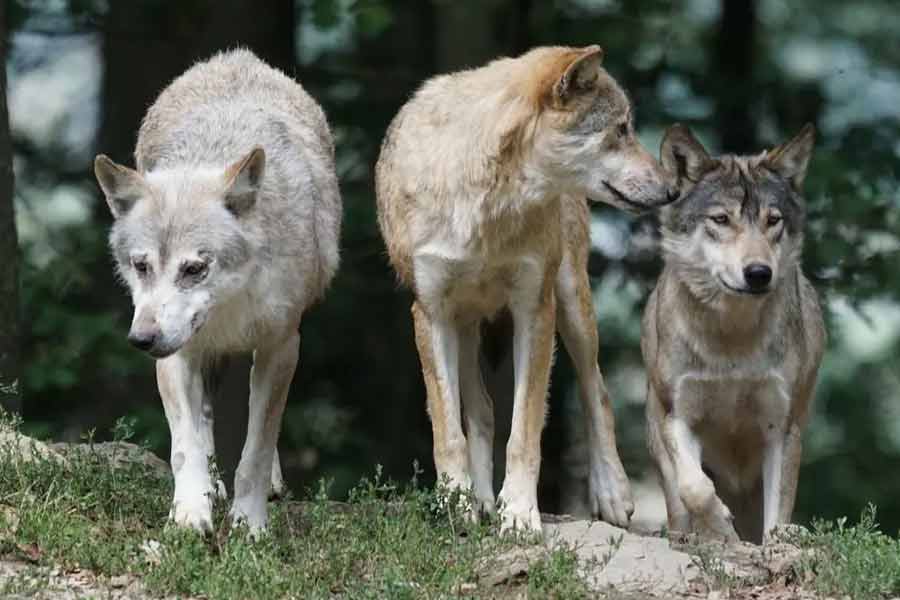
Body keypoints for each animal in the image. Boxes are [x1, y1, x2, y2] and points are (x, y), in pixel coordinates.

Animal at [93, 48, 342, 536]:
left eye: (194, 269)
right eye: (141, 266)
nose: (141, 339)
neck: (228, 307)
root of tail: (234, 57)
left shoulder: (282, 347)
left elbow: (256, 450)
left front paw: (250, 525)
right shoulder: (176, 355)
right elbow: (185, 446)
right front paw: (191, 513)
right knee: (205, 420)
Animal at [372, 48, 676, 536]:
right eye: (621, 130)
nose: (672, 189)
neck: (486, 203)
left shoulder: (535, 309)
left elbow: (524, 431)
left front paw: (517, 513)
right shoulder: (430, 313)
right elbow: (448, 431)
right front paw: (457, 505)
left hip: (572, 304)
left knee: (597, 391)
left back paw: (611, 494)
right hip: (464, 325)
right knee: (481, 409)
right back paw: (479, 501)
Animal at [644, 123, 828, 544]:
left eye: (773, 220)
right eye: (721, 219)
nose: (759, 273)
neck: (732, 339)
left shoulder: (782, 427)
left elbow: (778, 514)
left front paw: (773, 542)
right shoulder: (677, 415)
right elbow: (694, 487)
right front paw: (718, 527)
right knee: (679, 503)